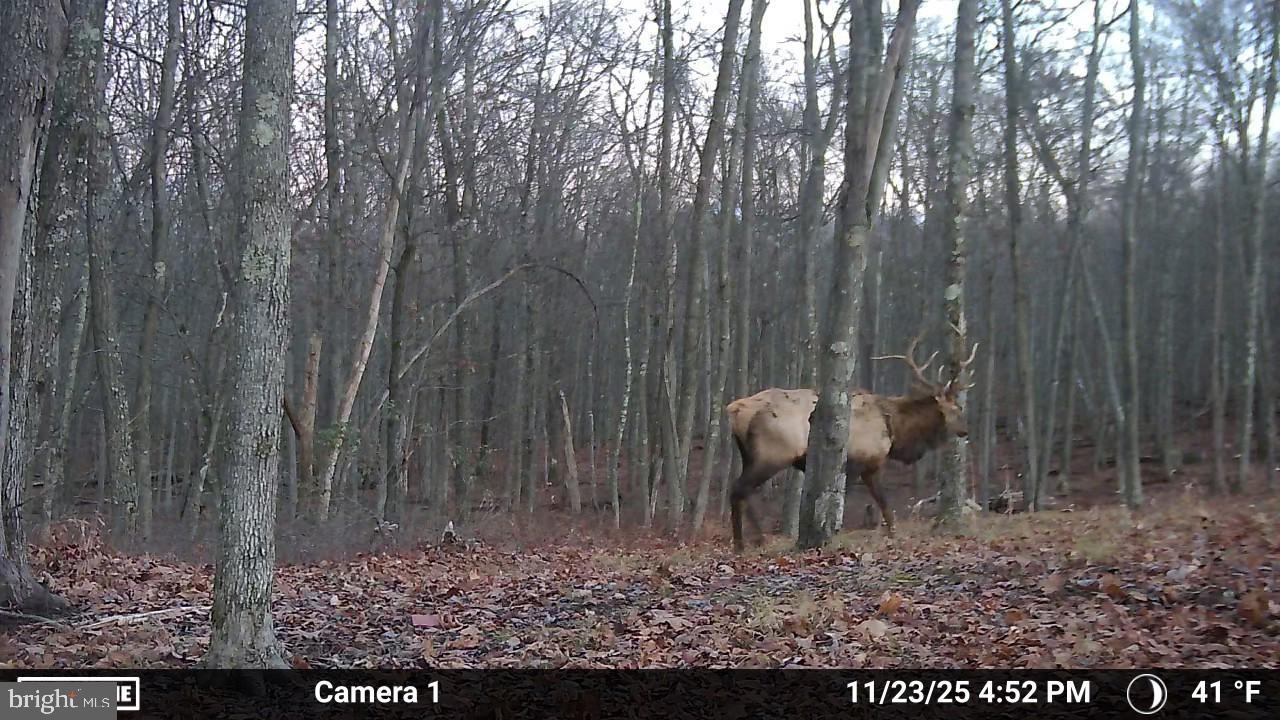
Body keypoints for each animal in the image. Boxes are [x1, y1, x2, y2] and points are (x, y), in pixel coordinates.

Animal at [726, 334, 977, 550]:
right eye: (956, 409)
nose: (966, 430)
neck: (895, 428)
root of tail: (735, 409)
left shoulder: (868, 467)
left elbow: (884, 506)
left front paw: (892, 535)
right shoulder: (862, 463)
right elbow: (861, 503)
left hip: (750, 455)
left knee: (742, 492)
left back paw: (749, 541)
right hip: (773, 454)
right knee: (739, 489)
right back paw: (748, 542)